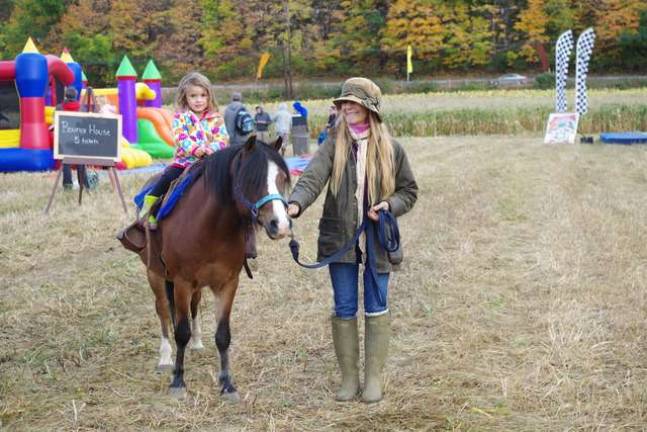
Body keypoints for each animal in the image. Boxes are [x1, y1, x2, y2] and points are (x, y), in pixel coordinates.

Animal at [118, 136, 291, 399]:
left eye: (282, 178)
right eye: (251, 180)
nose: (280, 225)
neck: (211, 228)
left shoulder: (227, 283)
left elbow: (222, 335)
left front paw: (227, 384)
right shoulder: (181, 282)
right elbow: (180, 332)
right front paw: (178, 381)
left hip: (196, 286)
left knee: (194, 307)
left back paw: (197, 342)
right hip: (155, 276)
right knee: (163, 311)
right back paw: (165, 357)